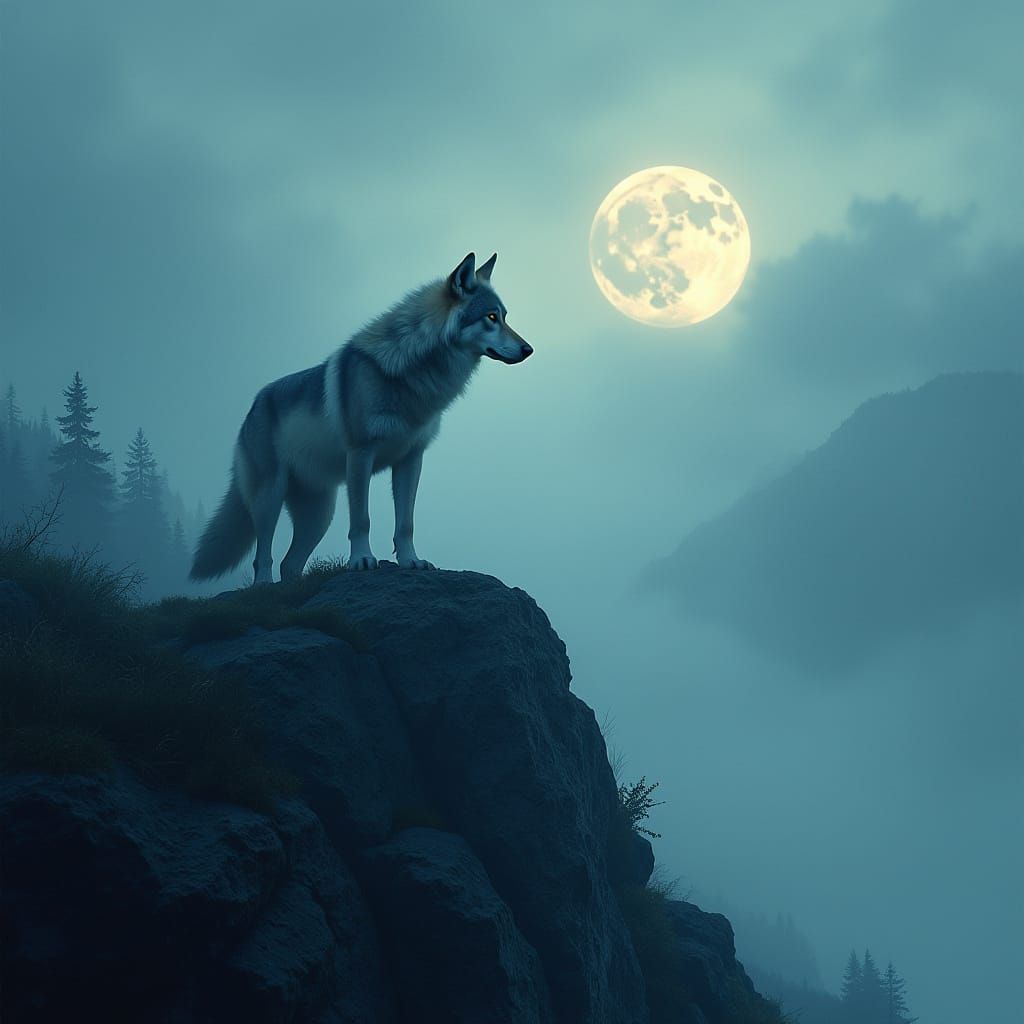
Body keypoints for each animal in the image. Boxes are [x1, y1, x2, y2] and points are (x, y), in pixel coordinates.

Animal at [190, 252, 532, 584]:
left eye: (504, 317)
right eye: (491, 317)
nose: (528, 349)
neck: (412, 375)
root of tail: (254, 403)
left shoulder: (411, 459)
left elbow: (405, 523)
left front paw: (411, 561)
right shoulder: (360, 454)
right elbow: (361, 520)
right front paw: (362, 560)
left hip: (319, 515)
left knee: (290, 564)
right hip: (269, 499)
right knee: (264, 556)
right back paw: (263, 587)